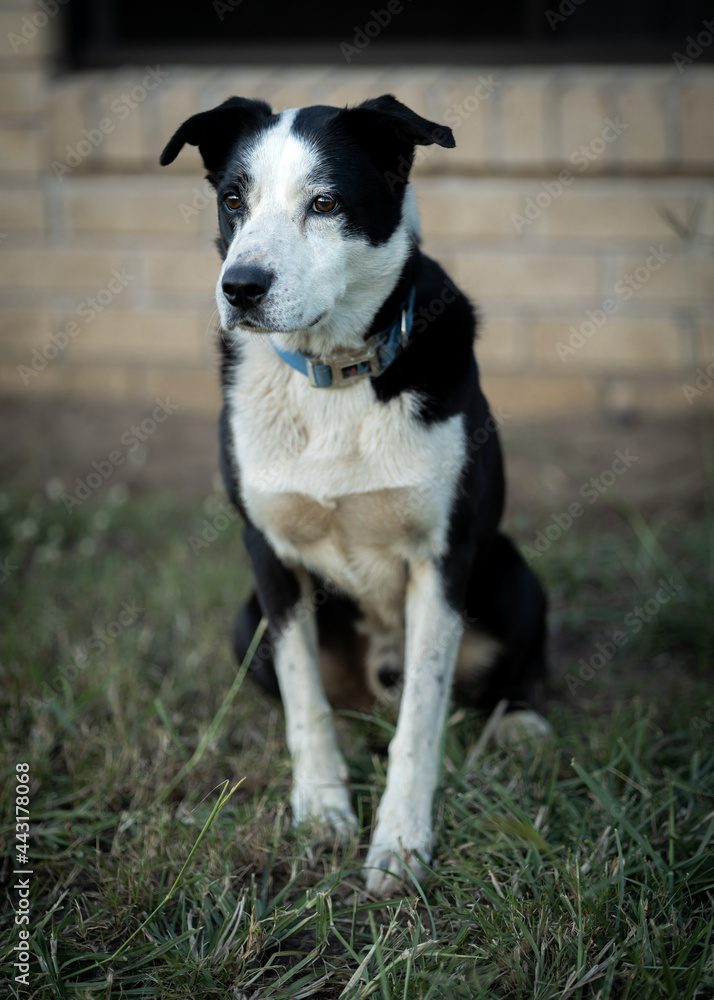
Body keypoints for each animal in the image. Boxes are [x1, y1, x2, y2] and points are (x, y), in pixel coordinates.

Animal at [160, 95, 544, 900]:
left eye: (326, 203)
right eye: (233, 199)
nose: (240, 287)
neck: (331, 376)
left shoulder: (443, 558)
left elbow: (421, 720)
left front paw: (399, 842)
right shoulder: (268, 557)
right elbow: (304, 697)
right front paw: (322, 809)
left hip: (511, 573)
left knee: (508, 672)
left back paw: (523, 724)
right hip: (245, 621)